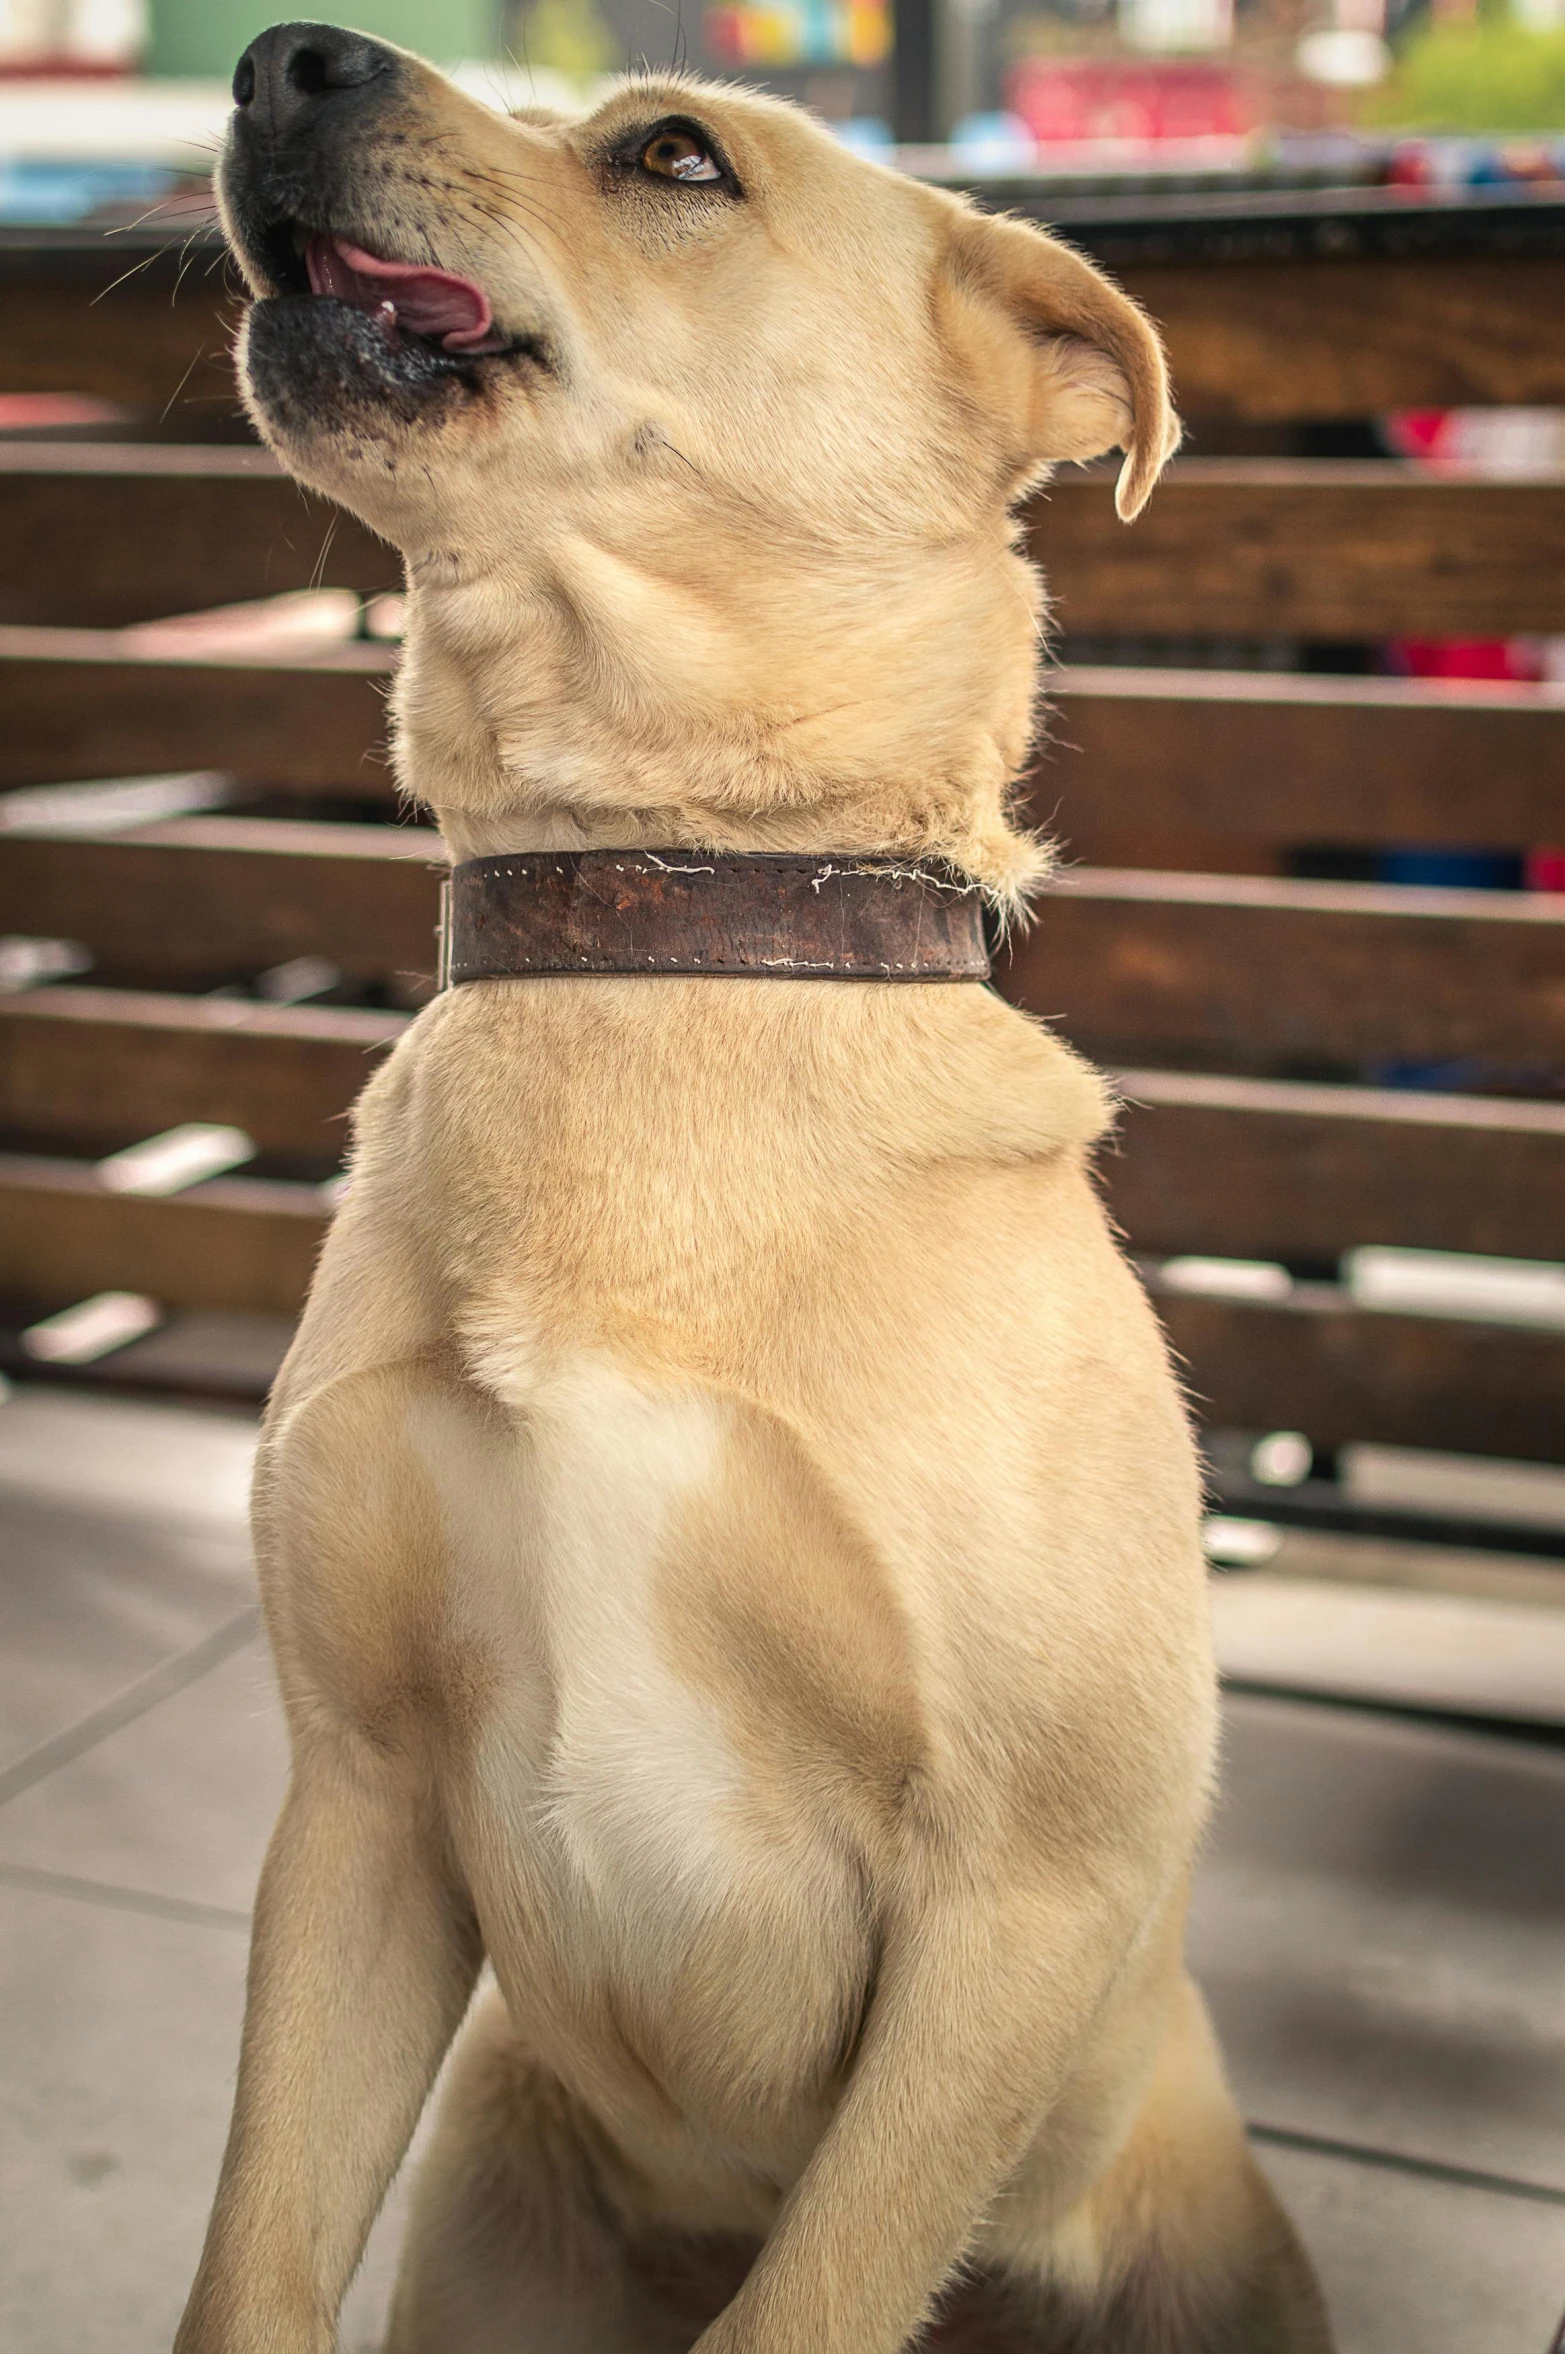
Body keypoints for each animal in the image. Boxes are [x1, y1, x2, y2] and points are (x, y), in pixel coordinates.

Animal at [180, 22, 1327, 2354]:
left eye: (674, 159)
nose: (272, 55)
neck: (663, 921)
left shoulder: (1019, 1892)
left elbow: (812, 2290)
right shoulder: (352, 1805)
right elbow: (252, 2261)